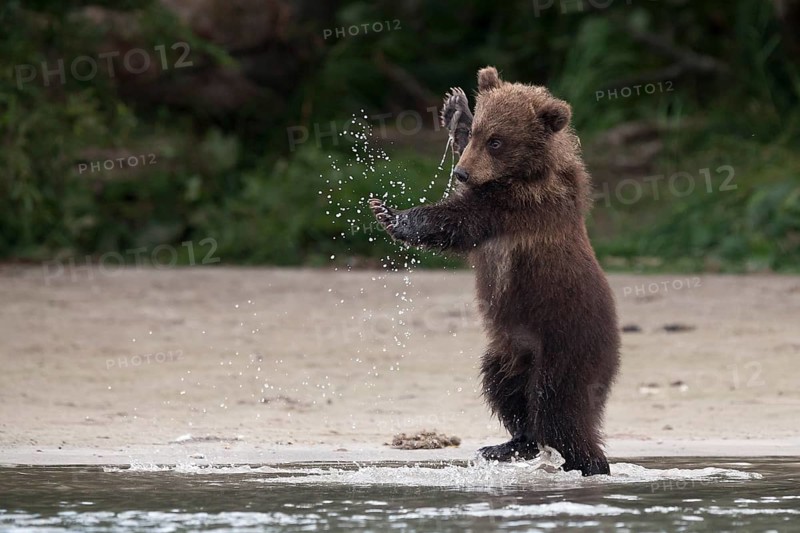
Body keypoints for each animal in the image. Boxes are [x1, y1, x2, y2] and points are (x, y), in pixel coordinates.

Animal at [368, 66, 620, 476]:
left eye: (498, 141)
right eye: (481, 133)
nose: (461, 173)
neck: (524, 173)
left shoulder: (517, 208)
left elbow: (457, 220)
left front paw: (390, 214)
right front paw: (455, 107)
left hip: (566, 343)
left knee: (558, 408)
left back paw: (587, 462)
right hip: (512, 349)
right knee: (504, 387)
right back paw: (509, 444)